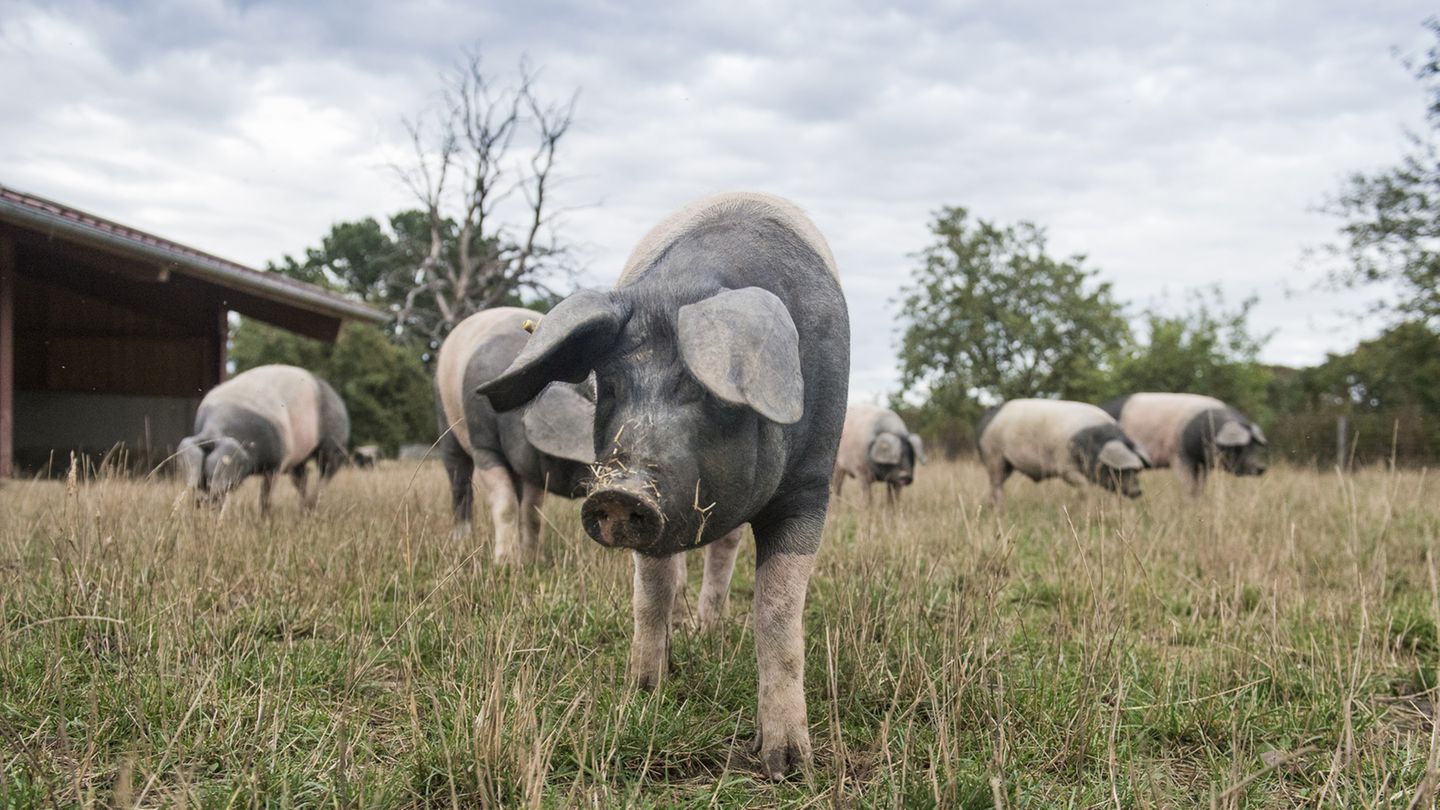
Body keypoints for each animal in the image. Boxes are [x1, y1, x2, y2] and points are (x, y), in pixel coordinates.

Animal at [178, 364, 349, 510]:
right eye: (201, 479)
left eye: (224, 465)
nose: (202, 502)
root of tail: (339, 400)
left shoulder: (276, 463)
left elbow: (265, 495)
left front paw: (264, 518)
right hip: (299, 457)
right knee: (302, 477)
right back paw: (303, 508)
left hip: (333, 442)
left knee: (328, 469)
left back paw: (313, 504)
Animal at [434, 304, 599, 562]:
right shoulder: (483, 445)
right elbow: (505, 504)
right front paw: (505, 563)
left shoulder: (532, 465)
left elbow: (532, 512)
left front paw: (533, 560)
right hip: (446, 425)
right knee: (460, 484)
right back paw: (461, 540)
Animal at [478, 188, 846, 778]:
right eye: (610, 386)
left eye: (704, 390)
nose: (618, 492)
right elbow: (649, 596)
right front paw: (645, 693)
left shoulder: (811, 485)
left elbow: (777, 611)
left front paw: (788, 766)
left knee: (722, 557)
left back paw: (710, 630)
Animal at [979, 394, 1146, 507]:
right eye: (1122, 471)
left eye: (1137, 470)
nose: (1138, 491)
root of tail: (988, 417)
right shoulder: (1065, 465)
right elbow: (1085, 486)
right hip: (994, 454)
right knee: (996, 483)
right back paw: (1000, 511)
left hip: (1007, 463)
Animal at [1105, 389, 1267, 492]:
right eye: (1239, 448)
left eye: (1255, 445)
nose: (1261, 467)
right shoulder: (1179, 454)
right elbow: (1188, 484)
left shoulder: (1203, 463)